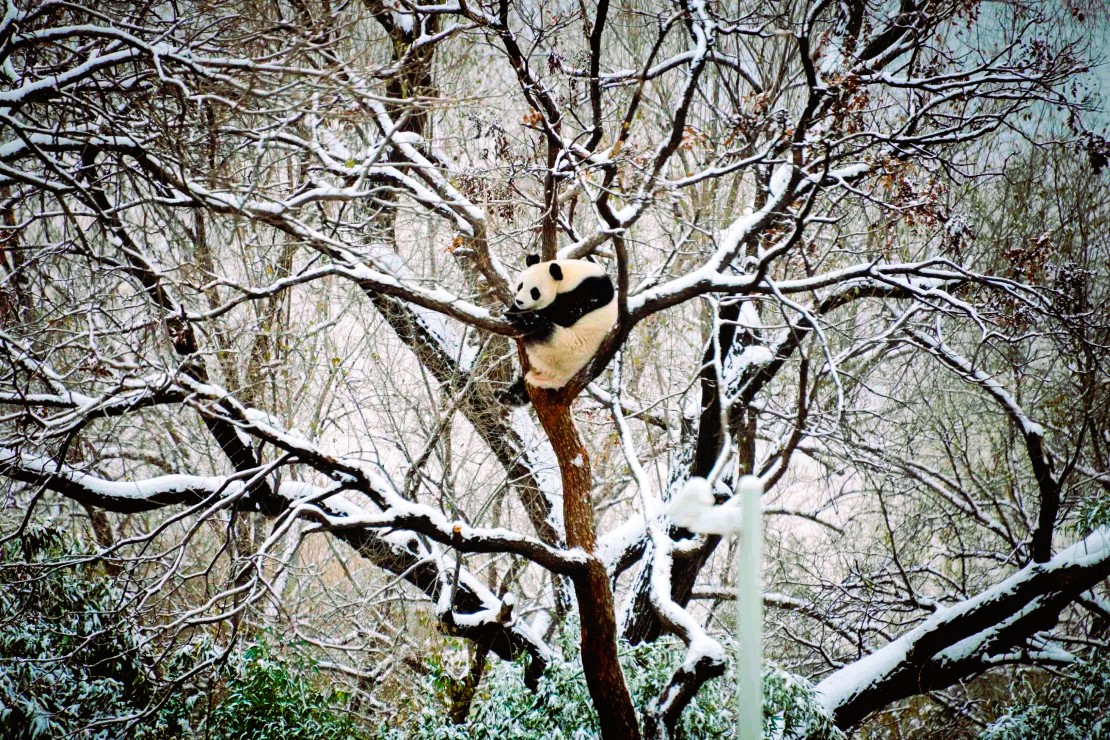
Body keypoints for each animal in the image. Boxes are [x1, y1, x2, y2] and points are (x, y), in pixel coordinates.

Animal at [501, 255, 621, 406]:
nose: (519, 301)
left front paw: (520, 314)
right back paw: (509, 395)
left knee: (542, 330)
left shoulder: (588, 292)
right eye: (520, 285)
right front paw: (512, 310)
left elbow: (563, 313)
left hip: (563, 349)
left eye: (534, 292)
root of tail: (555, 379)